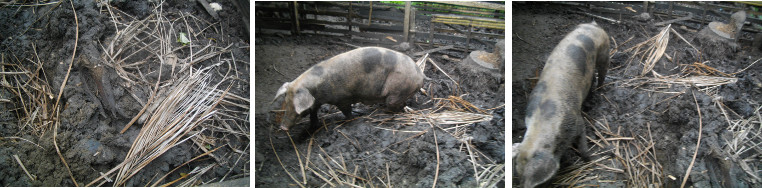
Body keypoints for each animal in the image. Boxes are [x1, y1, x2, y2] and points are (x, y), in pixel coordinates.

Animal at [270, 47, 424, 131]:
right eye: (286, 103)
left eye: (296, 107)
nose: (283, 128)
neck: (316, 92)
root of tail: (420, 74)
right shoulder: (315, 102)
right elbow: (313, 113)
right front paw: (313, 126)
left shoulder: (343, 98)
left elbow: (346, 111)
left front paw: (352, 119)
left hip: (398, 90)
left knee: (395, 105)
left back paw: (382, 112)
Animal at [512, 21, 608, 187]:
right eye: (518, 174)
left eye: (538, 183)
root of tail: (591, 25)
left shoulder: (576, 121)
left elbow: (583, 141)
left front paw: (589, 158)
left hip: (605, 49)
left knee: (602, 72)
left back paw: (600, 89)